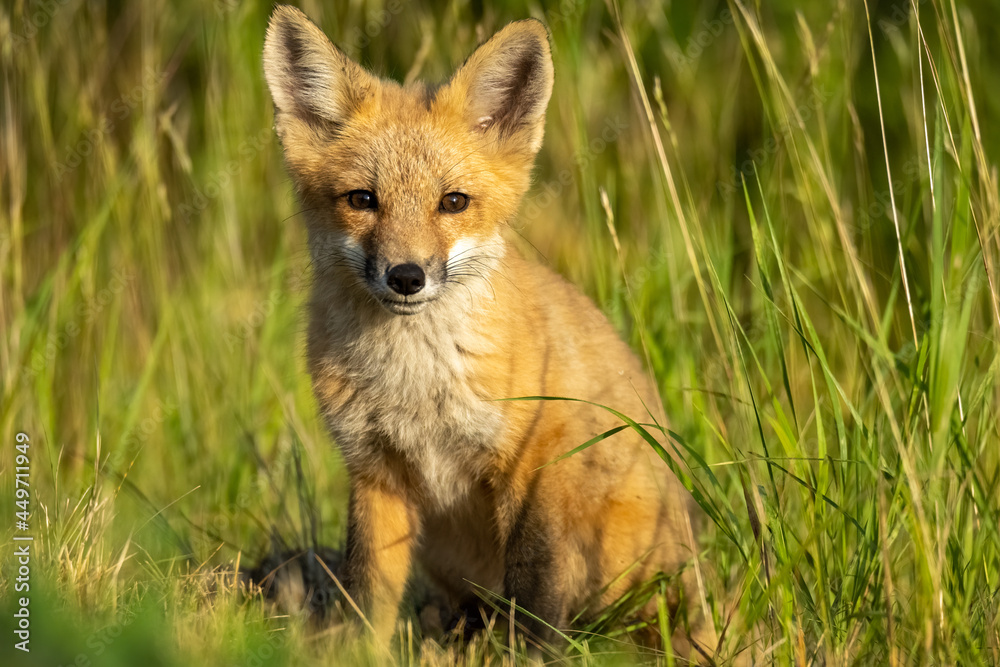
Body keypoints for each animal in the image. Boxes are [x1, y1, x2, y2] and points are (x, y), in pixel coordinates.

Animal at [262, 4, 706, 654]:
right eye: (362, 199)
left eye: (453, 202)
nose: (406, 276)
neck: (417, 386)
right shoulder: (374, 471)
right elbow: (368, 596)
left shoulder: (536, 458)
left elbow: (537, 592)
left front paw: (536, 659)